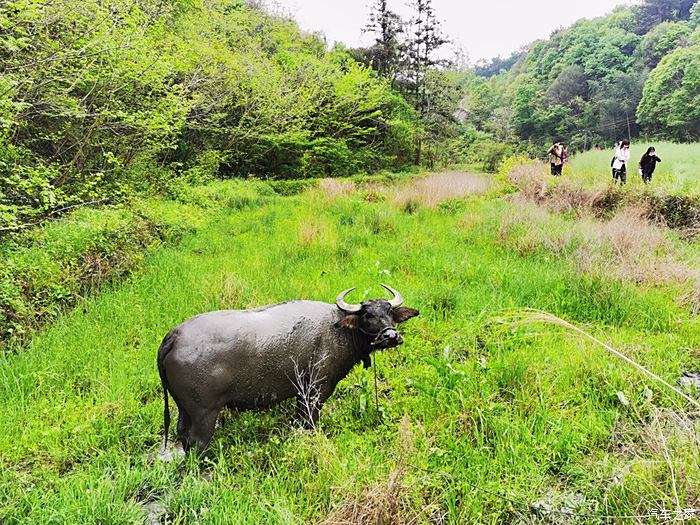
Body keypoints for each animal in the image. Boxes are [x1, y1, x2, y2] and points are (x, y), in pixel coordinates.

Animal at [158, 282, 418, 450]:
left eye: (389, 313)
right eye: (367, 316)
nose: (391, 336)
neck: (338, 329)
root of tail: (175, 335)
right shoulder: (316, 392)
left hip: (184, 410)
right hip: (204, 414)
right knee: (197, 443)